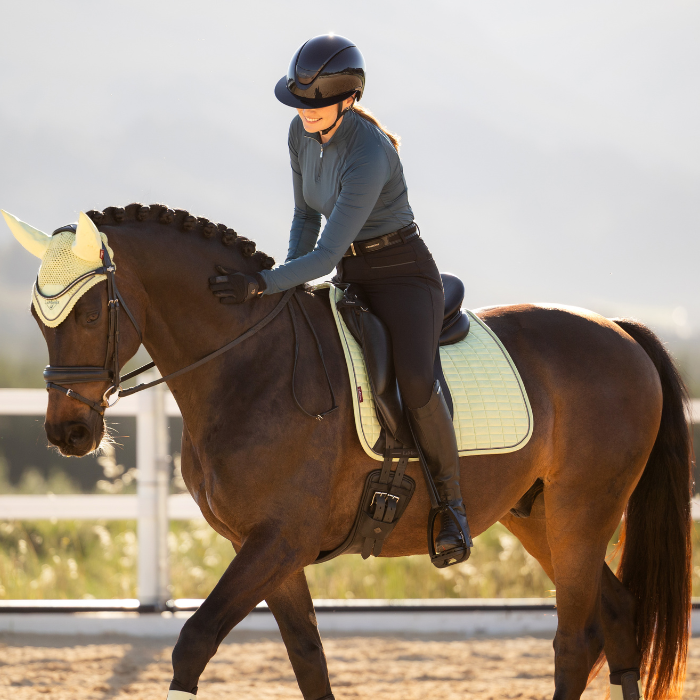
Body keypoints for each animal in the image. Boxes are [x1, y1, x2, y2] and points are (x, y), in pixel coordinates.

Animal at [14, 202, 692, 700]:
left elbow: (196, 641)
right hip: (537, 515)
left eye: (91, 312)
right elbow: (308, 658)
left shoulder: (279, 540)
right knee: (617, 613)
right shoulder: (264, 548)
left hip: (582, 510)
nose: (68, 433)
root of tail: (617, 329)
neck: (246, 363)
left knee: (576, 638)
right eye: (38, 318)